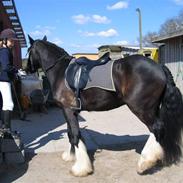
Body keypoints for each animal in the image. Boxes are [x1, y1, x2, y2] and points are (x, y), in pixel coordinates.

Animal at [26, 35, 183, 177]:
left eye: (28, 50)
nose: (27, 69)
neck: (62, 72)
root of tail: (159, 66)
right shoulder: (70, 111)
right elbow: (71, 134)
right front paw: (71, 156)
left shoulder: (68, 110)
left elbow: (75, 135)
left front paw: (81, 168)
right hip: (152, 108)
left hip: (141, 109)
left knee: (156, 128)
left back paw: (144, 163)